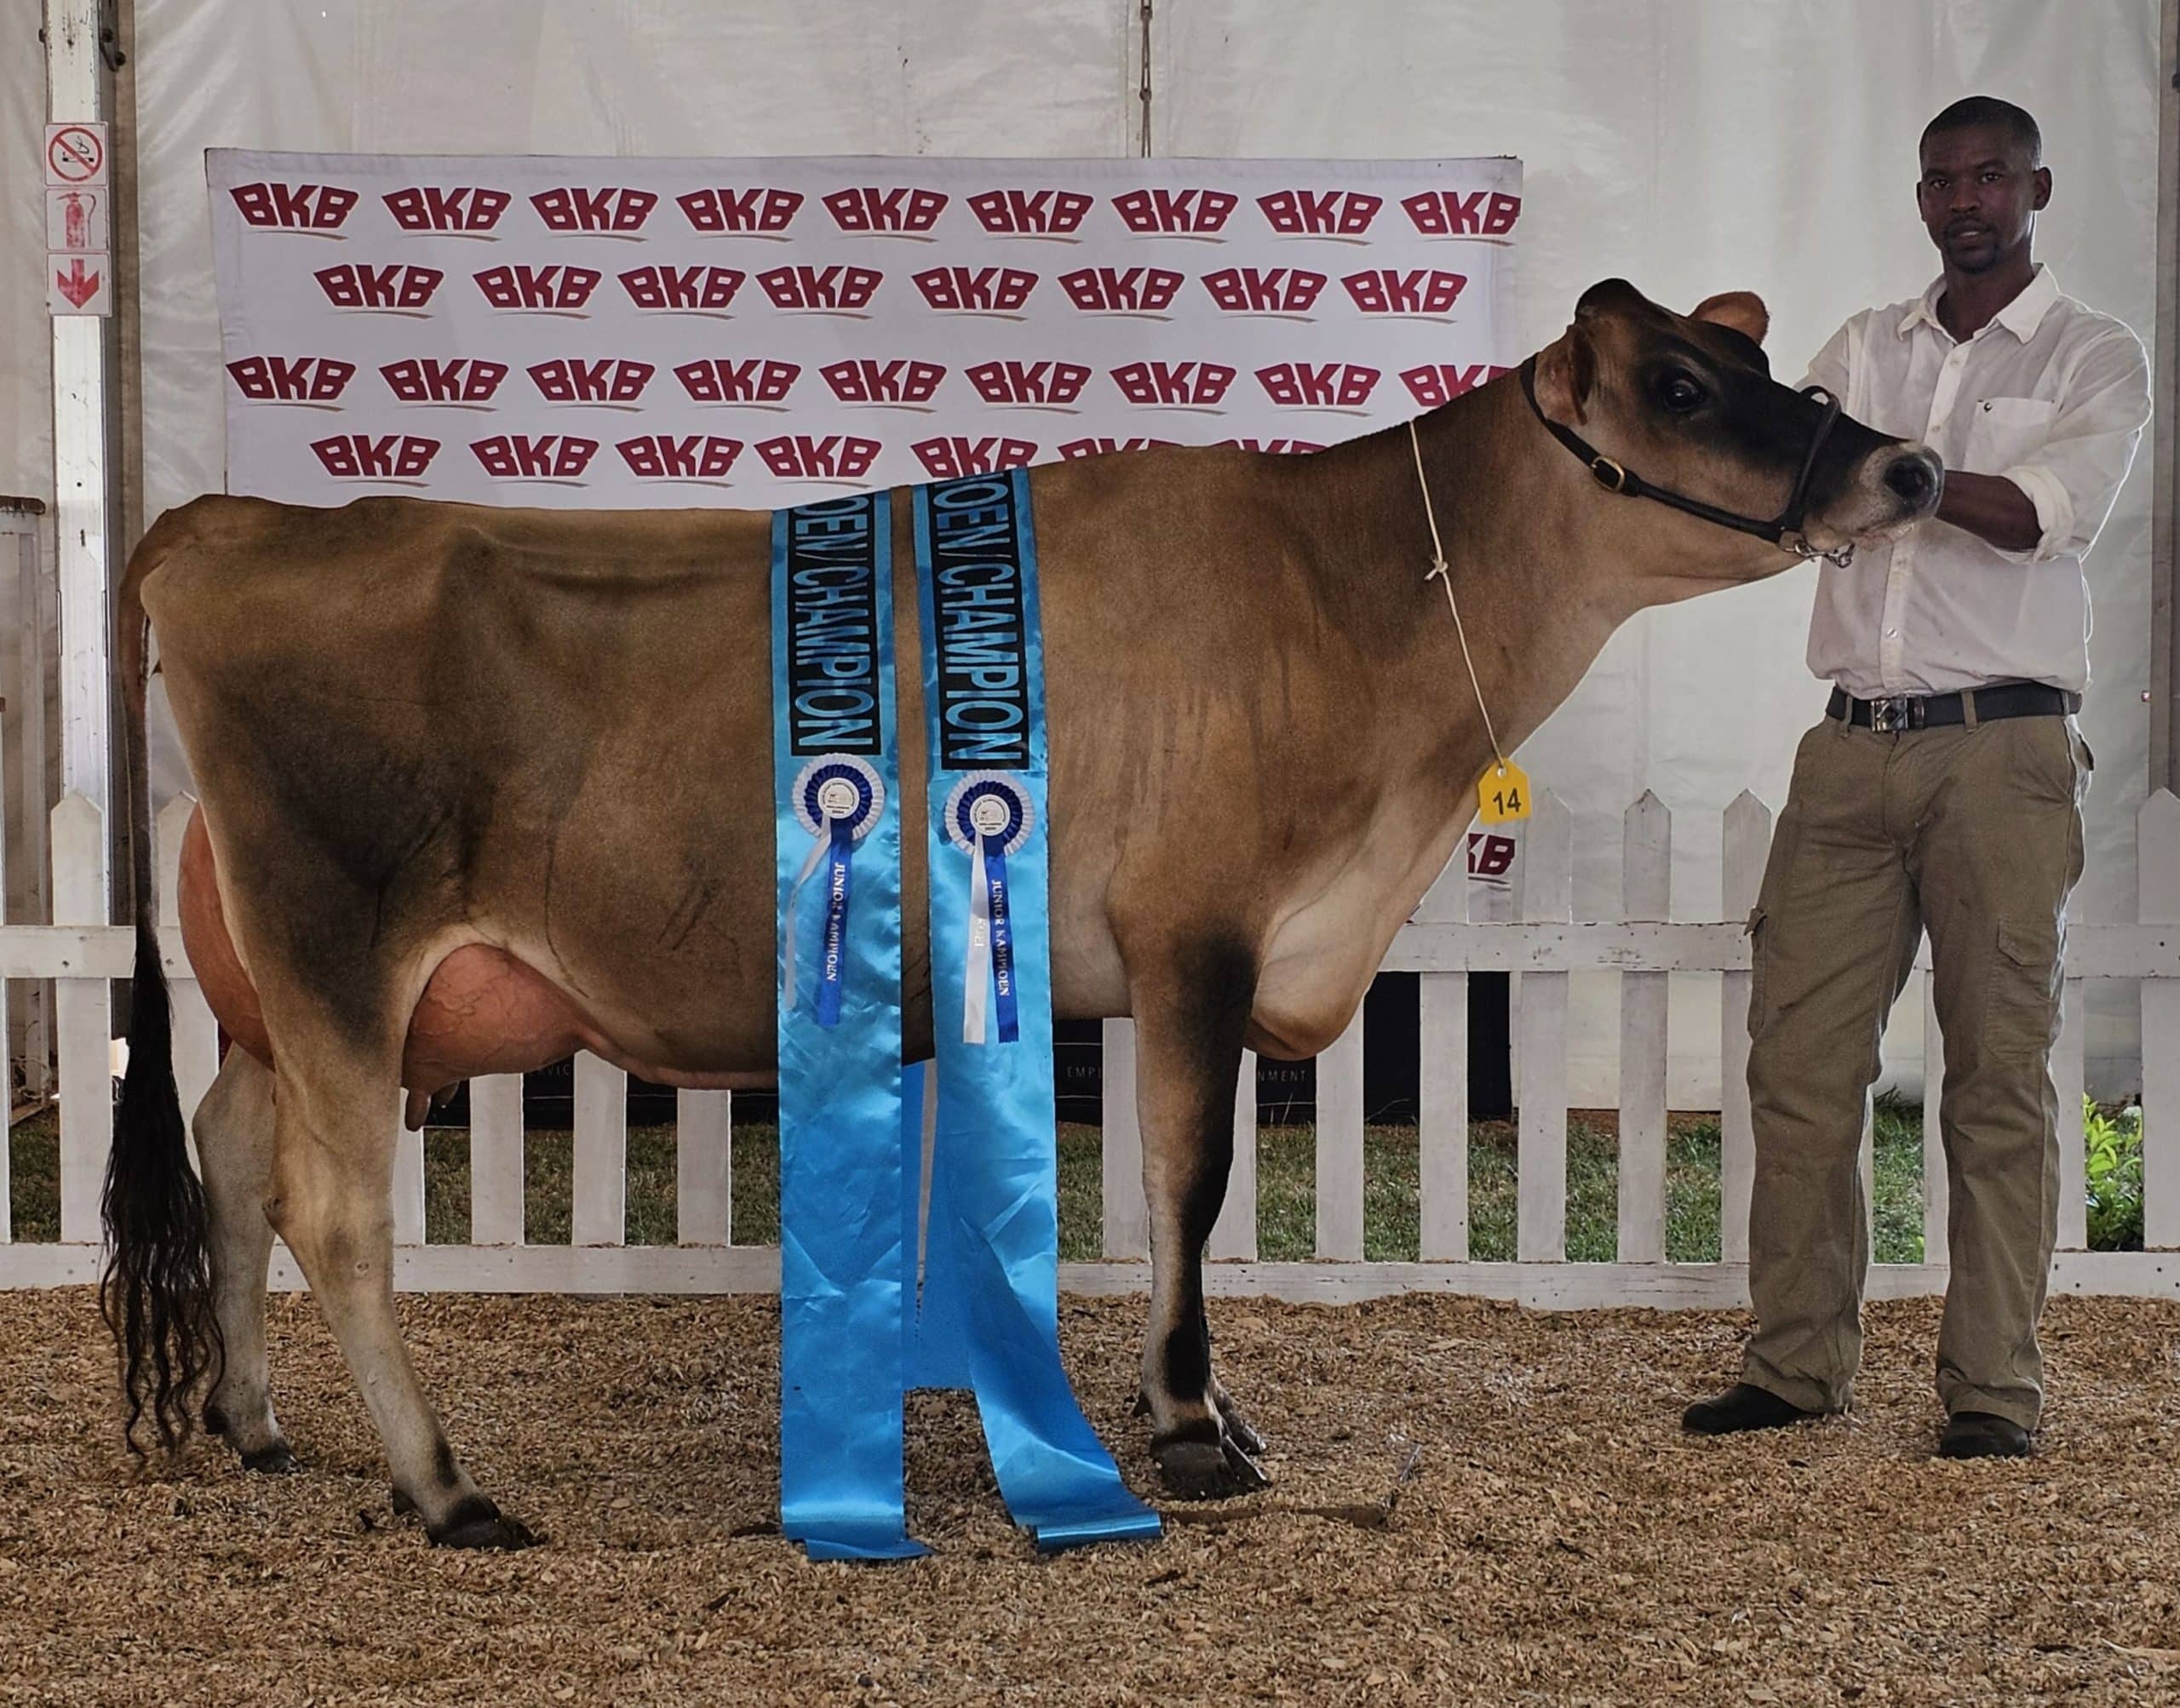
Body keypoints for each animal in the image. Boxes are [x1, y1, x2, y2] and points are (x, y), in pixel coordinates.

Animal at [106, 283, 1944, 1550]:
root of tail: (219, 521)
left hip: (270, 988)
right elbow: (1192, 1179)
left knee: (235, 1157)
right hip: (340, 949)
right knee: (340, 1212)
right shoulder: (1198, 931)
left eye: (1787, 378)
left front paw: (1184, 1405)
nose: (1909, 465)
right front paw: (1195, 1426)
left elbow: (1153, 1183)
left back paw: (261, 1426)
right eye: (1686, 386)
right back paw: (443, 1489)